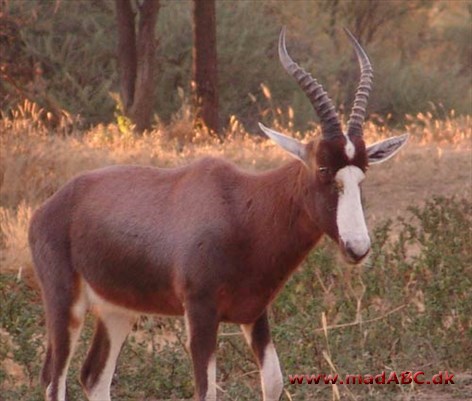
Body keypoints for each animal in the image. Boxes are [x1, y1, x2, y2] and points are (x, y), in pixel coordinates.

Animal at [27, 28, 408, 400]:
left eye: (362, 173)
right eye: (324, 169)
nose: (357, 248)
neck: (239, 206)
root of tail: (47, 208)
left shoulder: (255, 313)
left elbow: (273, 382)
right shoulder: (200, 312)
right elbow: (206, 391)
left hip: (117, 310)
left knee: (94, 377)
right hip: (64, 303)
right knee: (54, 381)